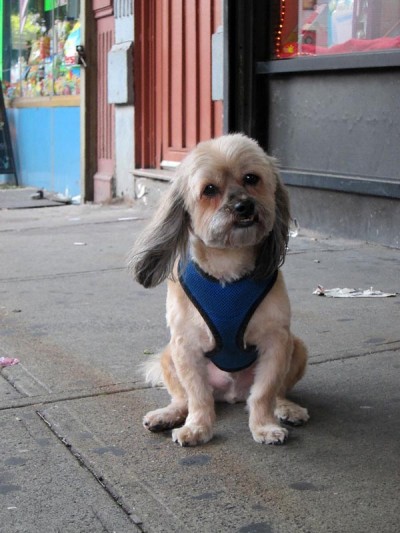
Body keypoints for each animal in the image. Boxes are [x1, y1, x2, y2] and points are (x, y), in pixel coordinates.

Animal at [129, 133, 309, 447]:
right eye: (209, 189)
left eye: (251, 178)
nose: (244, 206)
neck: (227, 267)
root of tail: (231, 394)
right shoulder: (185, 347)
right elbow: (198, 396)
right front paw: (197, 427)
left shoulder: (276, 342)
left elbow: (264, 393)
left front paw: (264, 426)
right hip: (168, 354)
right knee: (184, 398)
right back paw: (168, 415)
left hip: (296, 347)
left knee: (276, 392)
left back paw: (287, 408)